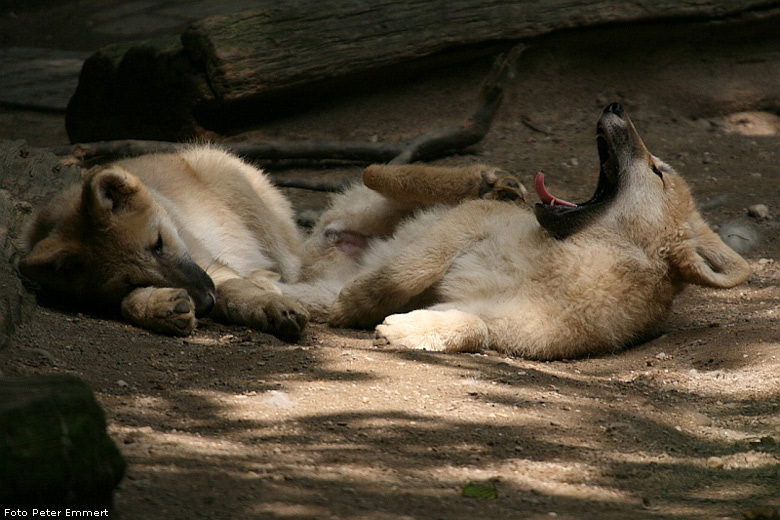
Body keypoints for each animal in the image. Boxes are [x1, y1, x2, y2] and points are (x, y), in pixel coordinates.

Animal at [16, 144, 306, 340]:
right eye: (132, 281)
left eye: (158, 244)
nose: (207, 303)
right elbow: (126, 303)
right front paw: (158, 306)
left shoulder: (214, 267)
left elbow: (234, 290)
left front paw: (271, 306)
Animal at [298, 103, 748, 360]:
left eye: (657, 171)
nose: (615, 103)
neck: (576, 258)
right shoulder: (469, 221)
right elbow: (409, 269)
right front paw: (358, 303)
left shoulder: (515, 325)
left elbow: (471, 326)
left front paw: (403, 329)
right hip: (402, 196)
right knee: (383, 173)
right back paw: (493, 181)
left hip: (313, 285)